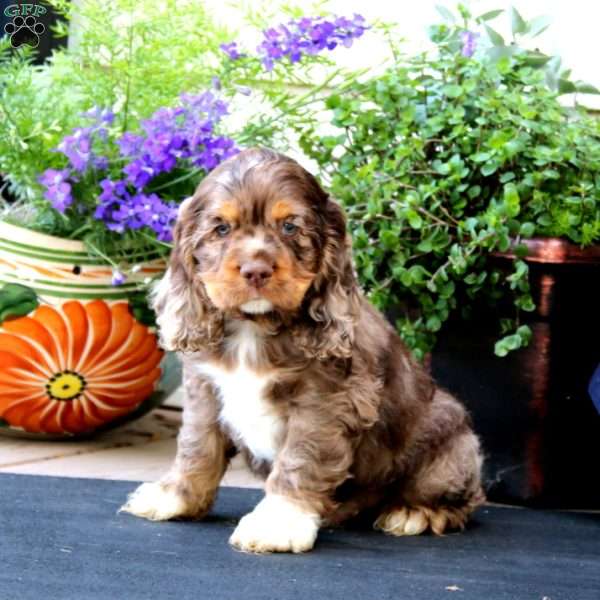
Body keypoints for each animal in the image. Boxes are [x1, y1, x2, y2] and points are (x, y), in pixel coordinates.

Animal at [120, 146, 482, 552]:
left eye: (290, 226)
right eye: (222, 228)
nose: (255, 270)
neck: (253, 328)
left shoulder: (323, 401)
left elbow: (299, 461)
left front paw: (277, 523)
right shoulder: (204, 390)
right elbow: (197, 446)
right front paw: (173, 497)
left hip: (451, 442)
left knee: (460, 498)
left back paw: (414, 513)